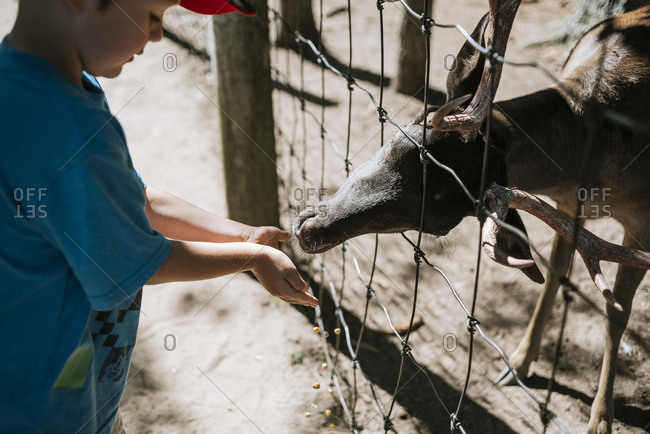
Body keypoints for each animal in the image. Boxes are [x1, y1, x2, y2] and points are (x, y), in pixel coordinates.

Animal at [293, 4, 650, 433]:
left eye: (436, 225)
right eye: (405, 144)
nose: (312, 229)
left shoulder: (643, 224)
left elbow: (616, 312)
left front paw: (600, 420)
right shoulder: (569, 206)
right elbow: (553, 278)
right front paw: (517, 364)